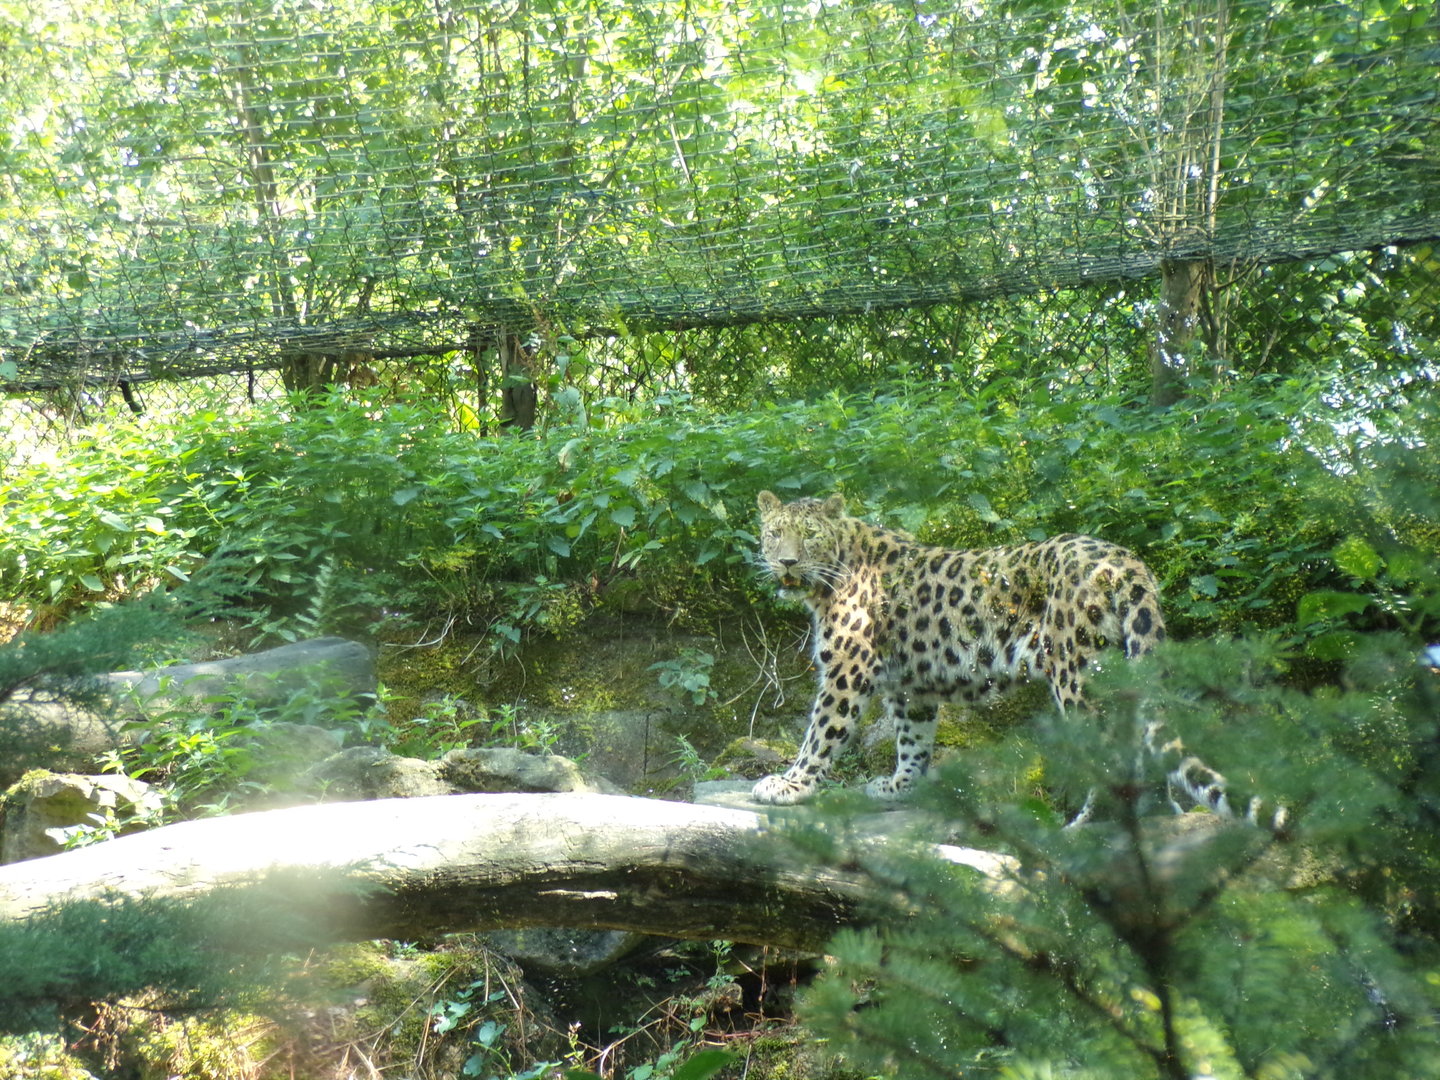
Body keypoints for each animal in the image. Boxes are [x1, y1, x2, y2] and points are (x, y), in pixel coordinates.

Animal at [750, 490, 1168, 808]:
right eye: (775, 533)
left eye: (809, 534)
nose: (787, 562)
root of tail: (1121, 557)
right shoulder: (908, 687)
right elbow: (913, 739)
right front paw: (900, 785)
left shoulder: (849, 668)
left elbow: (822, 731)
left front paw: (791, 784)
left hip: (1076, 671)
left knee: (1111, 752)